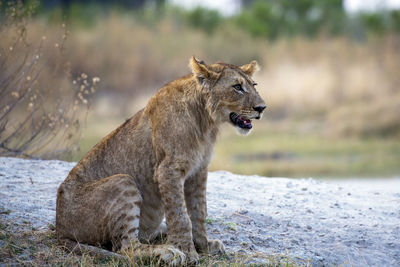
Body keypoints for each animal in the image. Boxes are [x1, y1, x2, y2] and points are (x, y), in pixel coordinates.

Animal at [55, 57, 266, 266]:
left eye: (254, 85)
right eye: (237, 87)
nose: (262, 108)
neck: (205, 121)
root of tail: (60, 229)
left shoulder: (199, 170)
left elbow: (199, 212)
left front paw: (203, 245)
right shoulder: (168, 170)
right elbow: (181, 216)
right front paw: (188, 252)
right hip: (122, 180)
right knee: (126, 247)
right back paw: (167, 252)